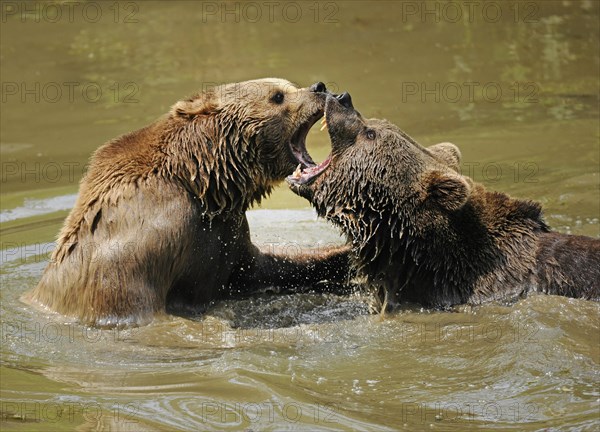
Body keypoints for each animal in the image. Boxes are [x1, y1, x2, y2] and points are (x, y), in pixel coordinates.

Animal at [25, 78, 350, 328]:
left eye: (289, 85)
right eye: (278, 96)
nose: (320, 87)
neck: (202, 182)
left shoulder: (226, 232)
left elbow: (262, 267)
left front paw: (344, 257)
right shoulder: (148, 237)